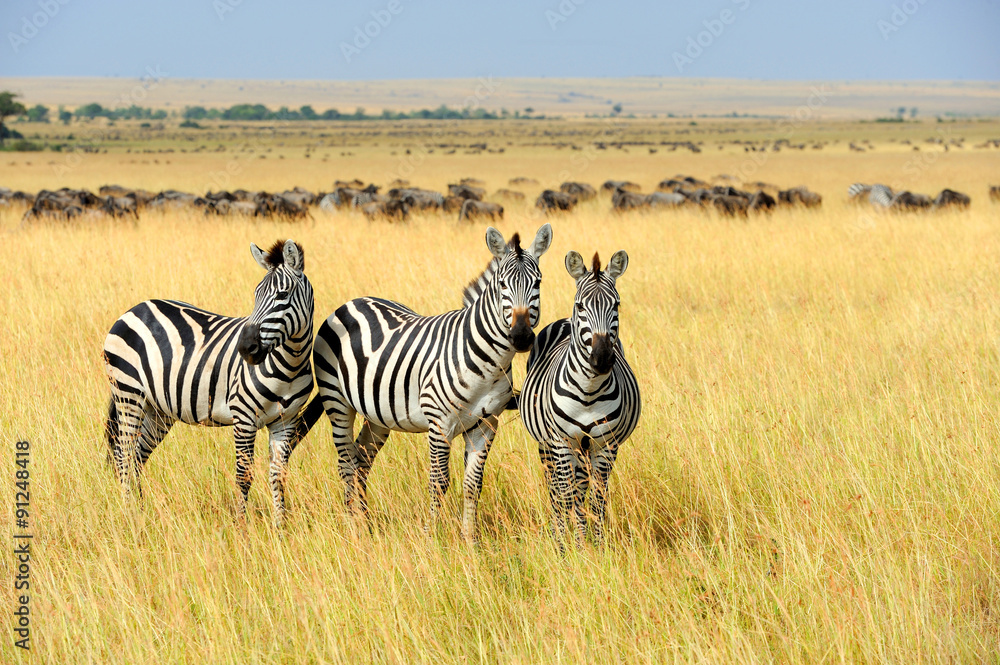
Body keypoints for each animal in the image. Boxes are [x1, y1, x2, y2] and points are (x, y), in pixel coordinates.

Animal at [103, 239, 314, 527]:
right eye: (256, 294)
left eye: (283, 295)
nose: (246, 348)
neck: (290, 365)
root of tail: (135, 309)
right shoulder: (244, 417)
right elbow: (244, 476)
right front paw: (241, 527)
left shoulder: (286, 421)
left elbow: (278, 476)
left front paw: (280, 529)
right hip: (129, 395)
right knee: (123, 455)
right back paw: (129, 515)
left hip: (158, 410)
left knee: (136, 456)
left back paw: (141, 511)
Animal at [292, 224, 552, 541]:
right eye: (502, 285)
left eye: (538, 283)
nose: (522, 336)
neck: (489, 362)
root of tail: (352, 302)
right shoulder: (439, 423)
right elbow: (439, 482)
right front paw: (432, 538)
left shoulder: (486, 425)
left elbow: (473, 485)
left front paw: (470, 541)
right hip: (337, 402)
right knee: (346, 464)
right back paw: (354, 527)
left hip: (377, 414)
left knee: (361, 460)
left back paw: (365, 523)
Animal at [518, 249, 641, 546]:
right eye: (581, 306)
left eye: (616, 305)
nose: (602, 358)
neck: (589, 390)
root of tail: (564, 319)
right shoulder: (561, 442)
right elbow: (566, 495)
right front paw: (567, 546)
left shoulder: (606, 445)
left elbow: (596, 498)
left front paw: (595, 545)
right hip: (548, 445)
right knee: (555, 488)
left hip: (584, 448)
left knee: (582, 487)